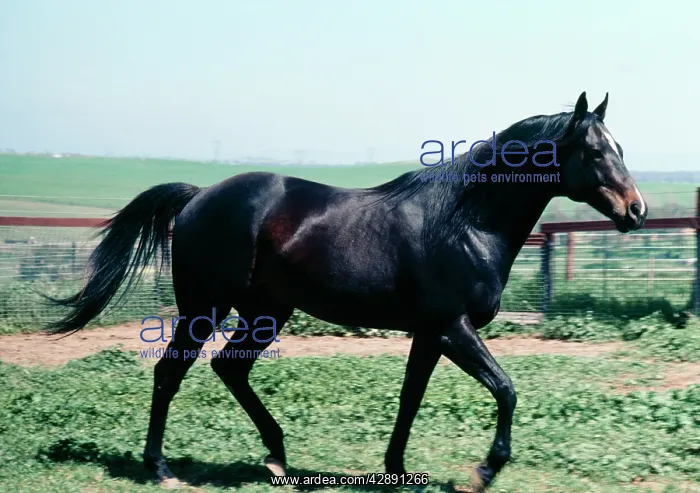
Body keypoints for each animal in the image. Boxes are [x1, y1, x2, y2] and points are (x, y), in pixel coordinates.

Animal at [46, 91, 647, 491]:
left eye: (620, 147)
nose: (636, 210)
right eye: (596, 152)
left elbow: (410, 399)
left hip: (266, 312)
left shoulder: (430, 334)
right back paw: (161, 469)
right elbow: (506, 389)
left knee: (229, 368)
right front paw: (483, 471)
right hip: (205, 308)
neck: (464, 223)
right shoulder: (453, 327)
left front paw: (397, 470)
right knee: (171, 373)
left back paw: (277, 457)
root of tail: (198, 196)